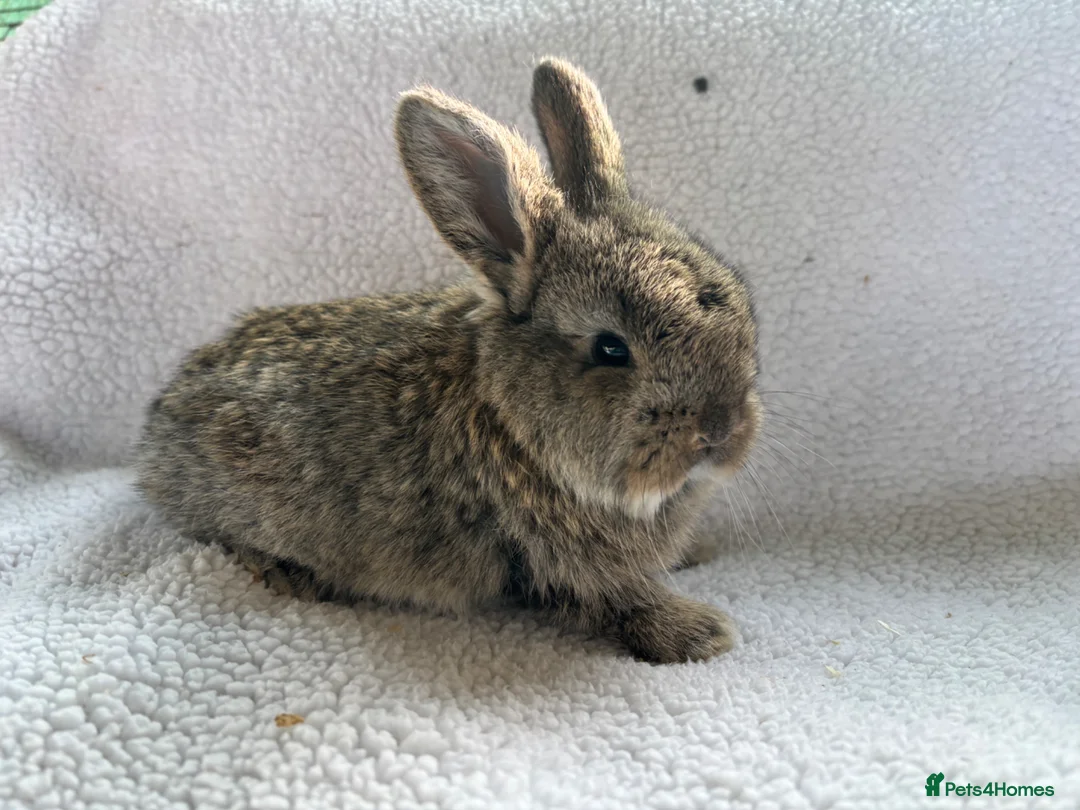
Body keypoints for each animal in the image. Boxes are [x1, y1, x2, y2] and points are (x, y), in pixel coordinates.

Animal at [135, 58, 763, 664]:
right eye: (611, 348)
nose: (720, 430)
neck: (513, 424)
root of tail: (158, 426)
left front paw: (699, 554)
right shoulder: (559, 560)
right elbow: (617, 601)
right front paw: (700, 633)